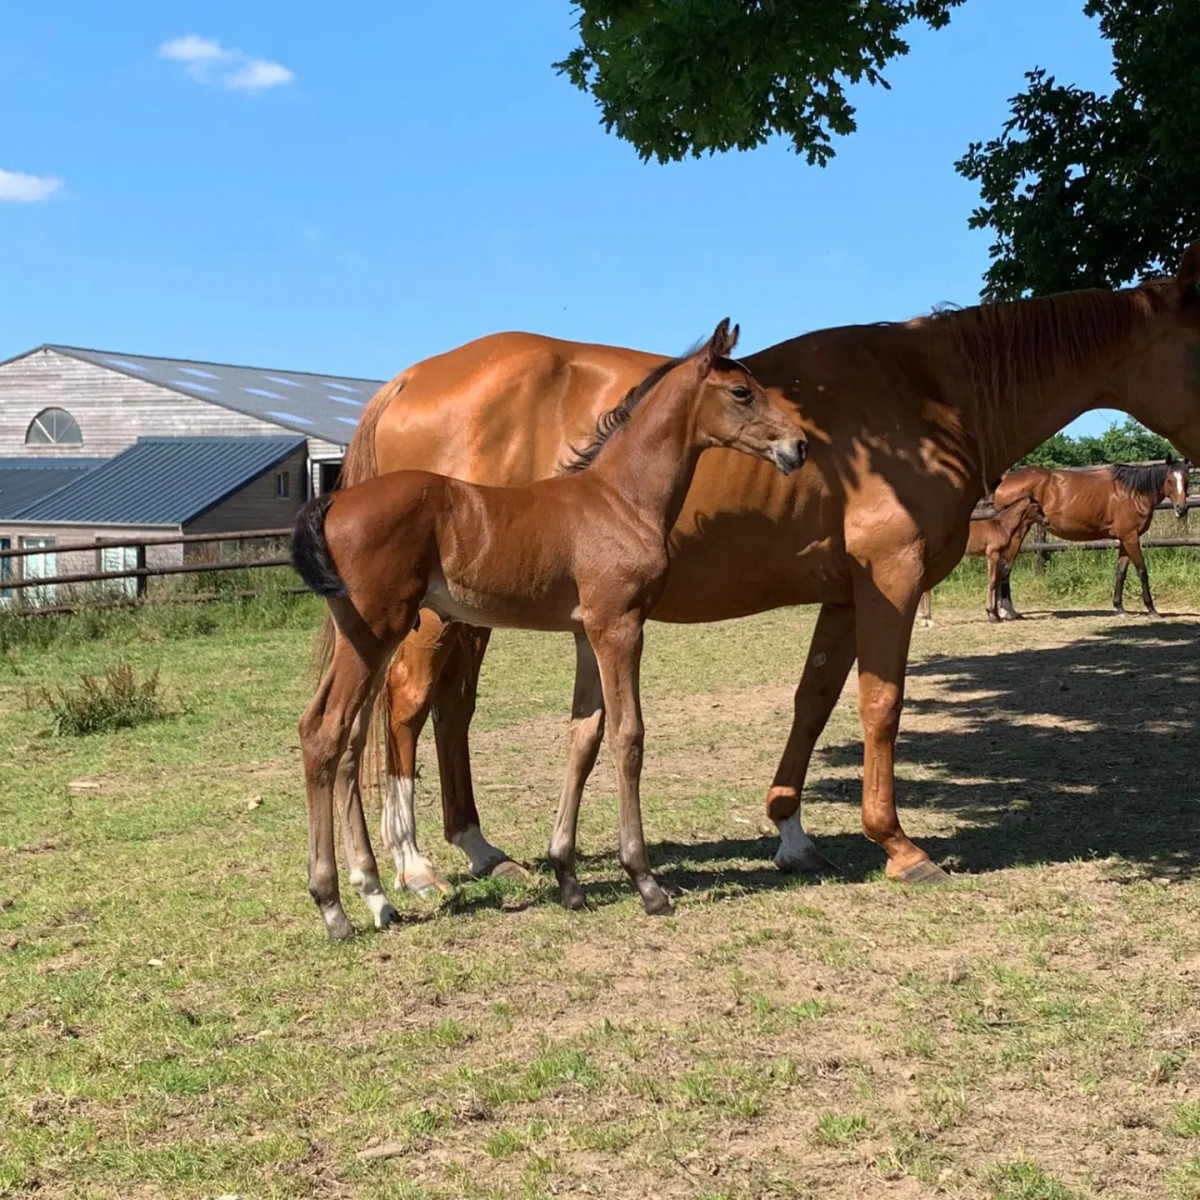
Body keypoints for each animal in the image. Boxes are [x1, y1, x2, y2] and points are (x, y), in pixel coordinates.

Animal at [293, 321, 807, 938]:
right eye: (742, 393)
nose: (798, 446)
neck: (618, 498)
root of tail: (334, 503)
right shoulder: (619, 626)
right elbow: (628, 737)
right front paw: (645, 882)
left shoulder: (587, 634)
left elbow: (582, 739)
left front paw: (567, 877)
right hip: (378, 630)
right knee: (325, 732)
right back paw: (334, 906)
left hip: (367, 636)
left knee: (346, 739)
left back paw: (374, 896)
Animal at [916, 495, 1045, 625]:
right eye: (1036, 507)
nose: (1046, 521)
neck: (1000, 526)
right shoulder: (992, 555)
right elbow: (992, 581)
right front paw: (990, 614)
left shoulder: (999, 557)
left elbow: (996, 582)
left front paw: (996, 615)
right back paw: (928, 619)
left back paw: (924, 618)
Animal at [992, 458, 1192, 618]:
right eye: (1169, 479)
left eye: (1187, 479)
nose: (1181, 509)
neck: (1131, 493)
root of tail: (1006, 478)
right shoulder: (1131, 538)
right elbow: (1142, 571)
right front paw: (1152, 610)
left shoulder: (1124, 539)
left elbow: (1120, 572)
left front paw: (1120, 608)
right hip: (1017, 533)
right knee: (1005, 567)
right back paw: (1007, 611)